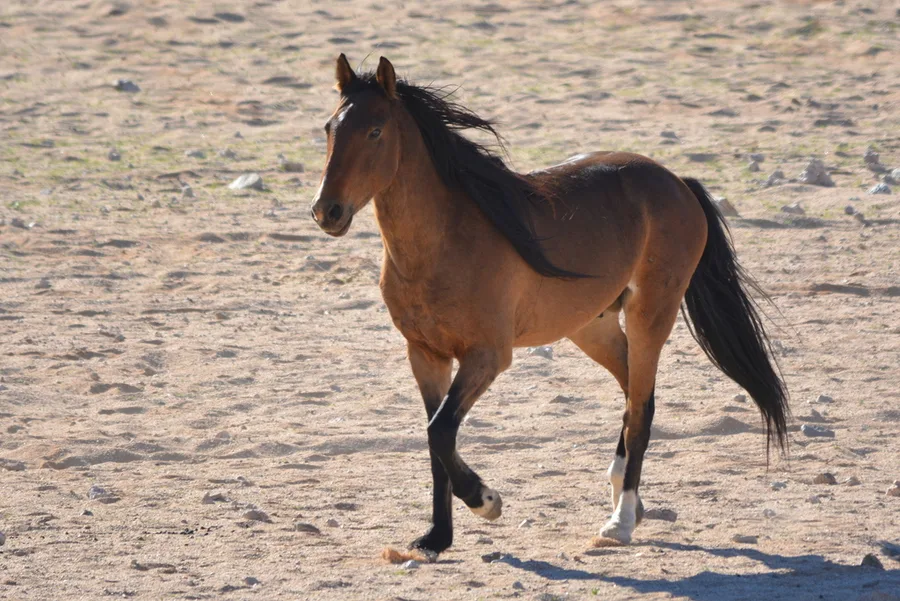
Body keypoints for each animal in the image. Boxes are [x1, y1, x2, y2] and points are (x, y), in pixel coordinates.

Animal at [310, 54, 789, 556]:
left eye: (375, 131)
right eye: (329, 127)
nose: (327, 211)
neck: (442, 243)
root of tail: (676, 182)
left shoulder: (487, 357)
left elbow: (440, 433)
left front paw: (486, 501)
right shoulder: (425, 356)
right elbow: (436, 440)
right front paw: (437, 537)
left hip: (651, 315)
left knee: (640, 411)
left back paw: (620, 521)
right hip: (593, 328)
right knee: (635, 396)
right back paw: (627, 496)